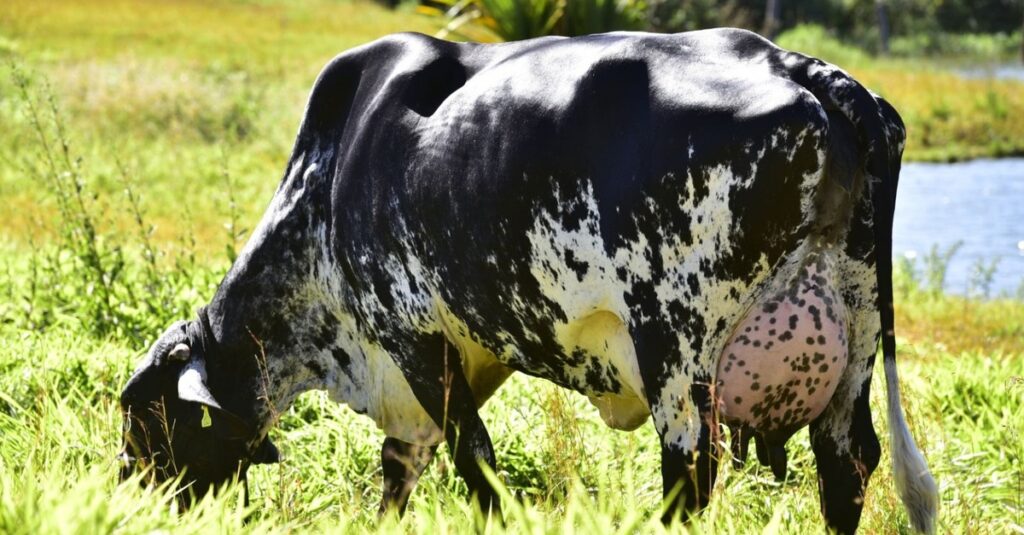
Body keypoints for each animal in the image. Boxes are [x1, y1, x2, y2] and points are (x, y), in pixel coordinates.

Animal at [118, 28, 938, 533]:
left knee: (692, 470)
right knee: (846, 464)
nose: (121, 495)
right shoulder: (455, 356)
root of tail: (794, 64)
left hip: (676, 348)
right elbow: (401, 468)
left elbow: (472, 463)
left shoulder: (412, 332)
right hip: (853, 333)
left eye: (144, 420)